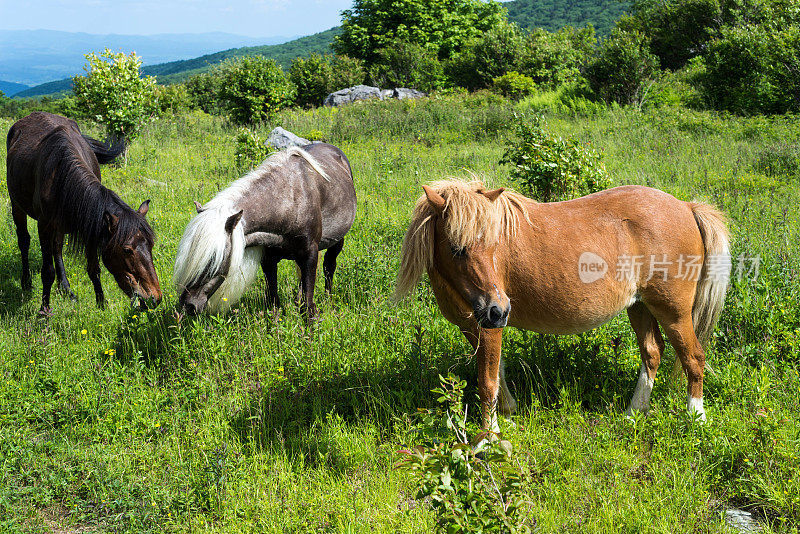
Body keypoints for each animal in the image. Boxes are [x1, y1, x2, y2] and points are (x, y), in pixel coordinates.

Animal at [4, 113, 164, 314]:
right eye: (127, 250)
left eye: (151, 245)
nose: (154, 299)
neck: (62, 177)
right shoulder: (44, 225)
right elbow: (47, 271)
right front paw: (44, 311)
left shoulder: (91, 224)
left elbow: (93, 267)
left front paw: (101, 303)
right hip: (17, 206)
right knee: (24, 241)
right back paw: (26, 282)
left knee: (57, 248)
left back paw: (65, 288)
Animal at [174, 143, 356, 318]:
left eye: (212, 261)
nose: (188, 305)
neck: (289, 202)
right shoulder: (268, 261)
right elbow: (273, 304)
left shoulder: (309, 255)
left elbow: (308, 307)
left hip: (337, 242)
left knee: (329, 267)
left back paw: (328, 299)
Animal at [396, 180, 732, 436]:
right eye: (456, 249)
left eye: (494, 246)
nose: (498, 310)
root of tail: (686, 207)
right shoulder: (474, 327)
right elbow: (498, 370)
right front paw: (508, 413)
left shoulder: (488, 328)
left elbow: (487, 382)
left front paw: (489, 437)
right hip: (639, 307)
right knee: (652, 353)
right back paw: (634, 413)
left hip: (673, 312)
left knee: (693, 357)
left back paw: (696, 419)